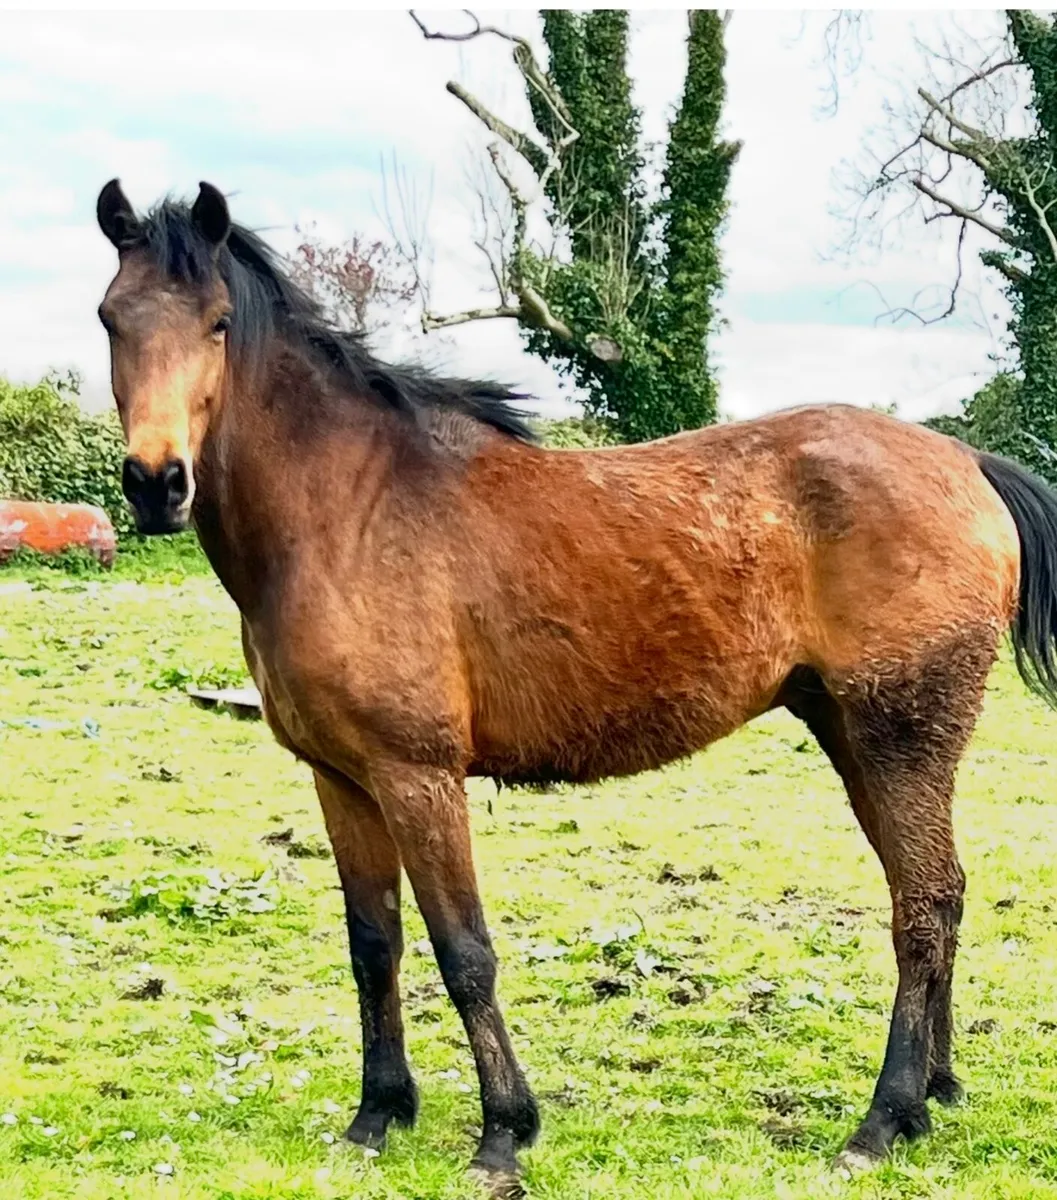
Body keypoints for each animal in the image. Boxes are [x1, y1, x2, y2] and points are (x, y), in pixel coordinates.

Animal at [96, 179, 1057, 1194]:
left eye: (218, 322)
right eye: (112, 317)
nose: (156, 482)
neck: (345, 512)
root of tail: (967, 464)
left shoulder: (417, 777)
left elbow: (463, 952)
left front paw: (502, 1132)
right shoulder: (341, 780)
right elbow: (373, 946)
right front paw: (376, 1116)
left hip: (899, 738)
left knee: (921, 908)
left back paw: (882, 1118)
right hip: (856, 740)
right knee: (938, 894)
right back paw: (935, 1094)